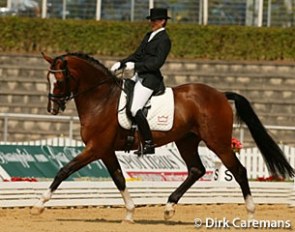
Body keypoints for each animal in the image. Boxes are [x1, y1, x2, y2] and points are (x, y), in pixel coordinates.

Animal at [30, 51, 295, 222]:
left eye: (60, 80)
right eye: (47, 78)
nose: (52, 109)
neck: (100, 99)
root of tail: (220, 94)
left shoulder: (95, 148)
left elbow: (64, 171)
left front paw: (39, 205)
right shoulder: (105, 150)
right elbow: (119, 179)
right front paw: (130, 212)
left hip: (217, 142)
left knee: (238, 170)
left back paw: (250, 212)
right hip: (186, 140)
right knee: (196, 170)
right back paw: (168, 208)